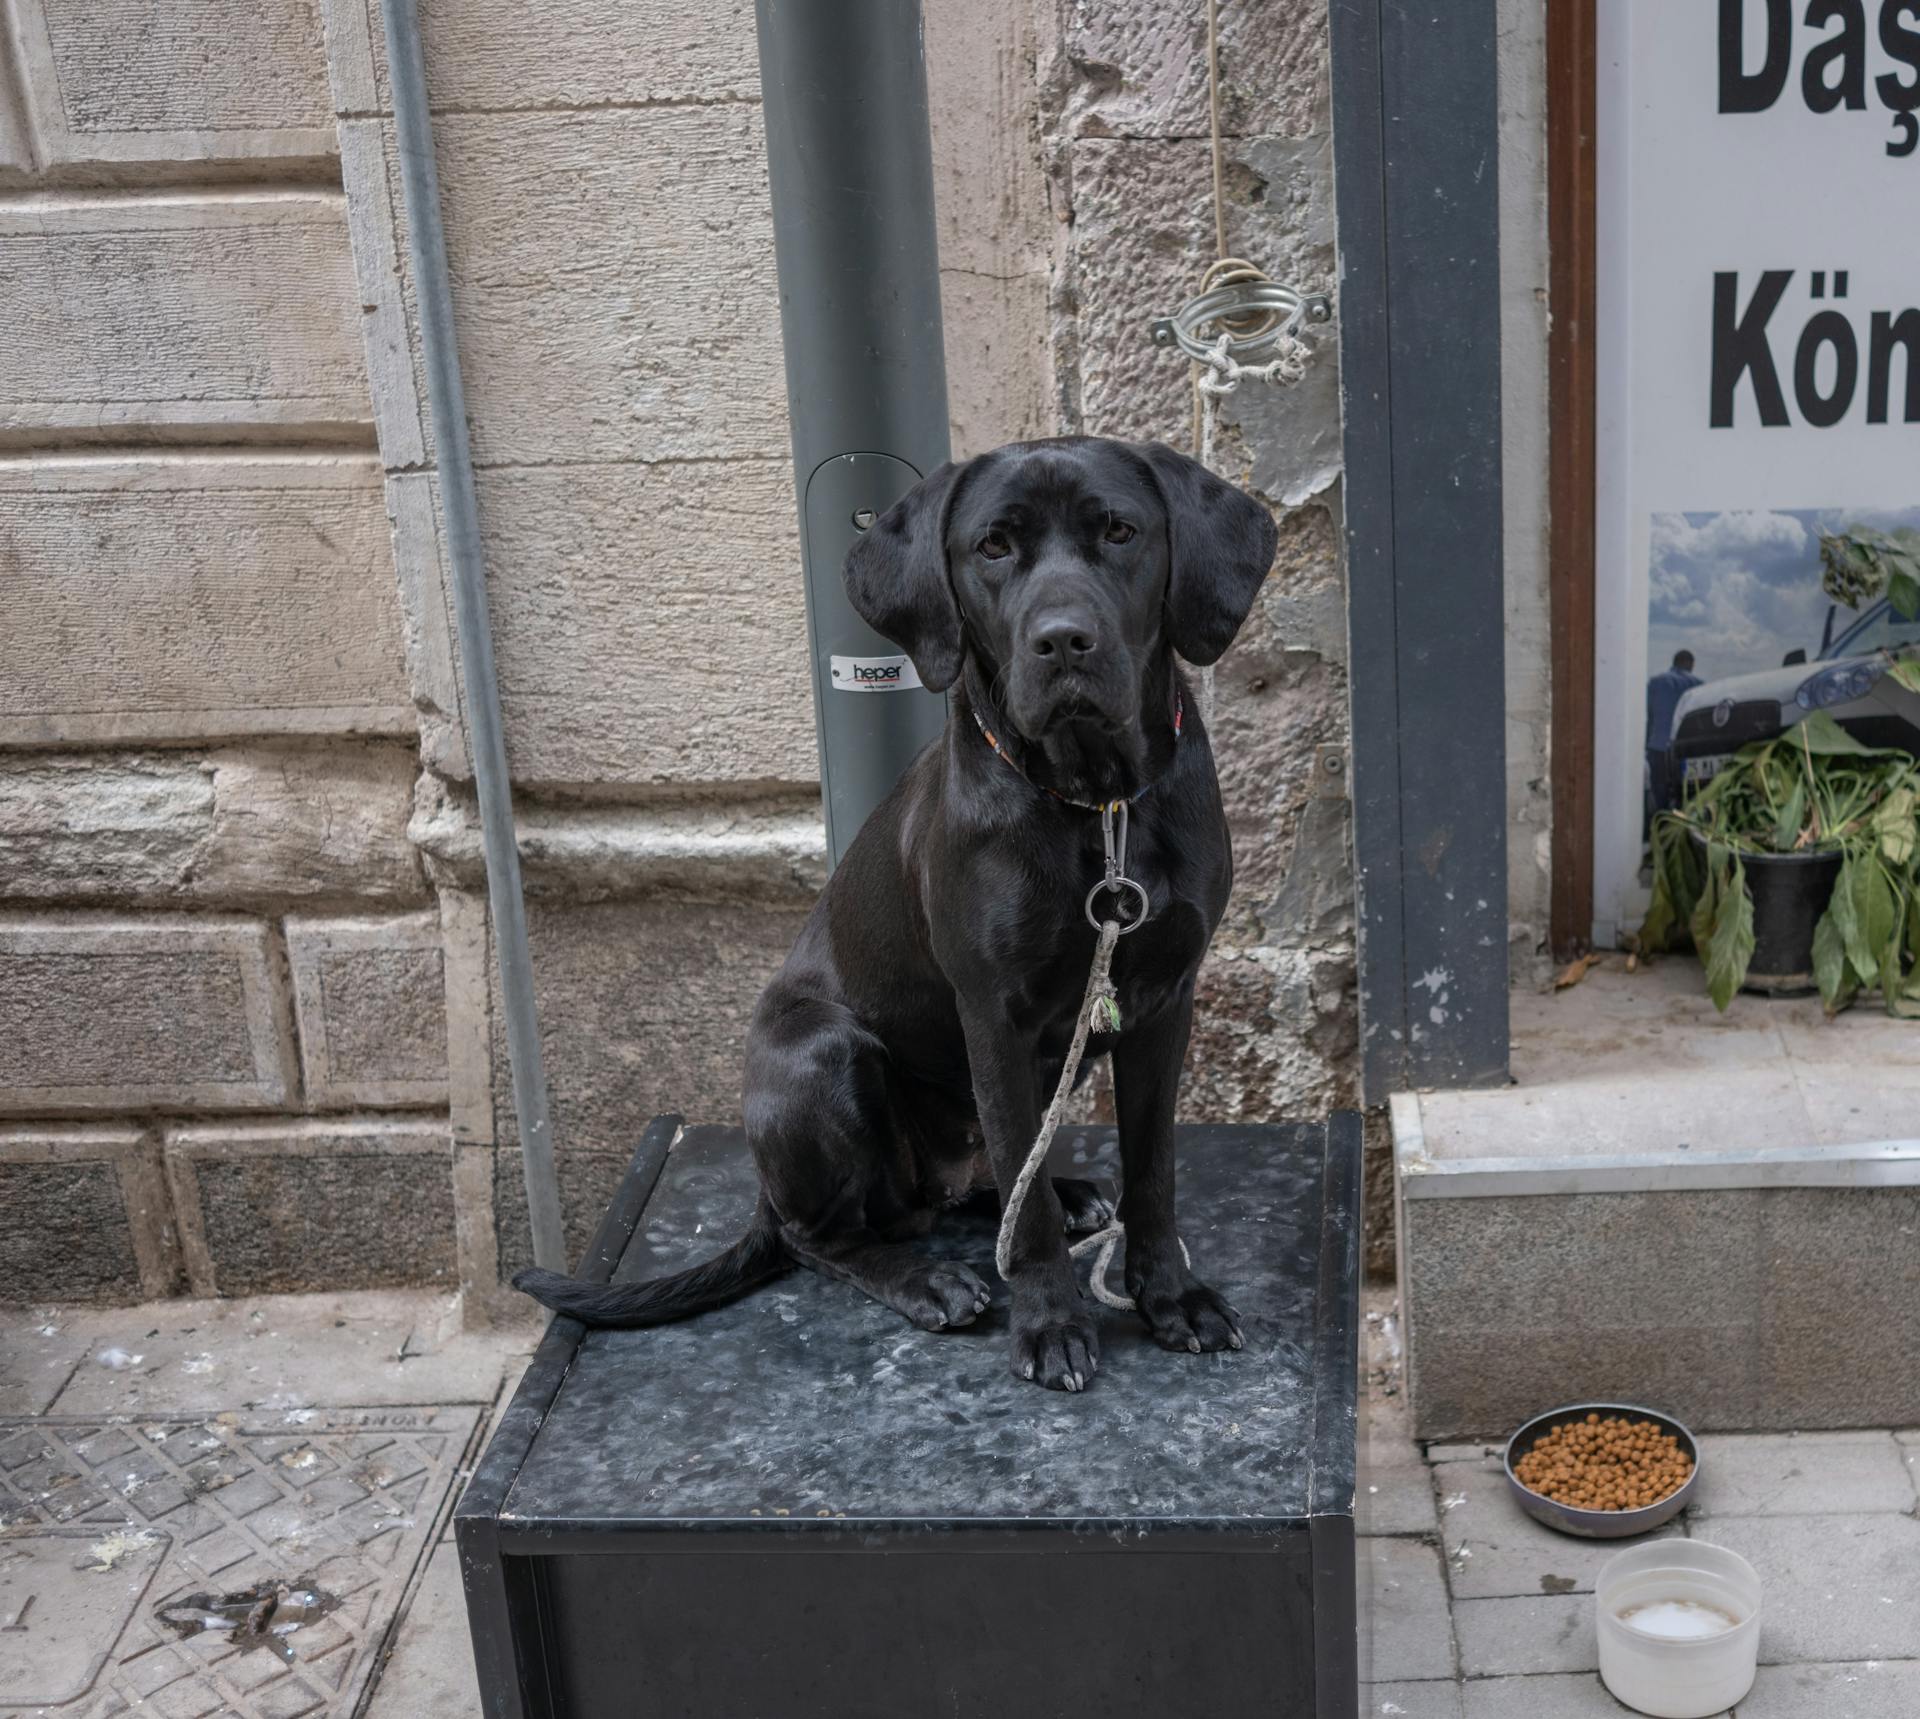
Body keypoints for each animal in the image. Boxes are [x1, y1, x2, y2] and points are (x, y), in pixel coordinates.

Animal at [518, 437, 1282, 1390]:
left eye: (1119, 531)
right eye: (993, 546)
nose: (1062, 639)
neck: (1095, 803)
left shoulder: (1164, 1001)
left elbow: (1152, 1172)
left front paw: (1172, 1294)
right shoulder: (994, 1014)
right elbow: (1027, 1213)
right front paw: (1051, 1321)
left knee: (984, 1180)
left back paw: (1063, 1194)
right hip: (826, 1054)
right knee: (830, 1234)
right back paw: (926, 1280)